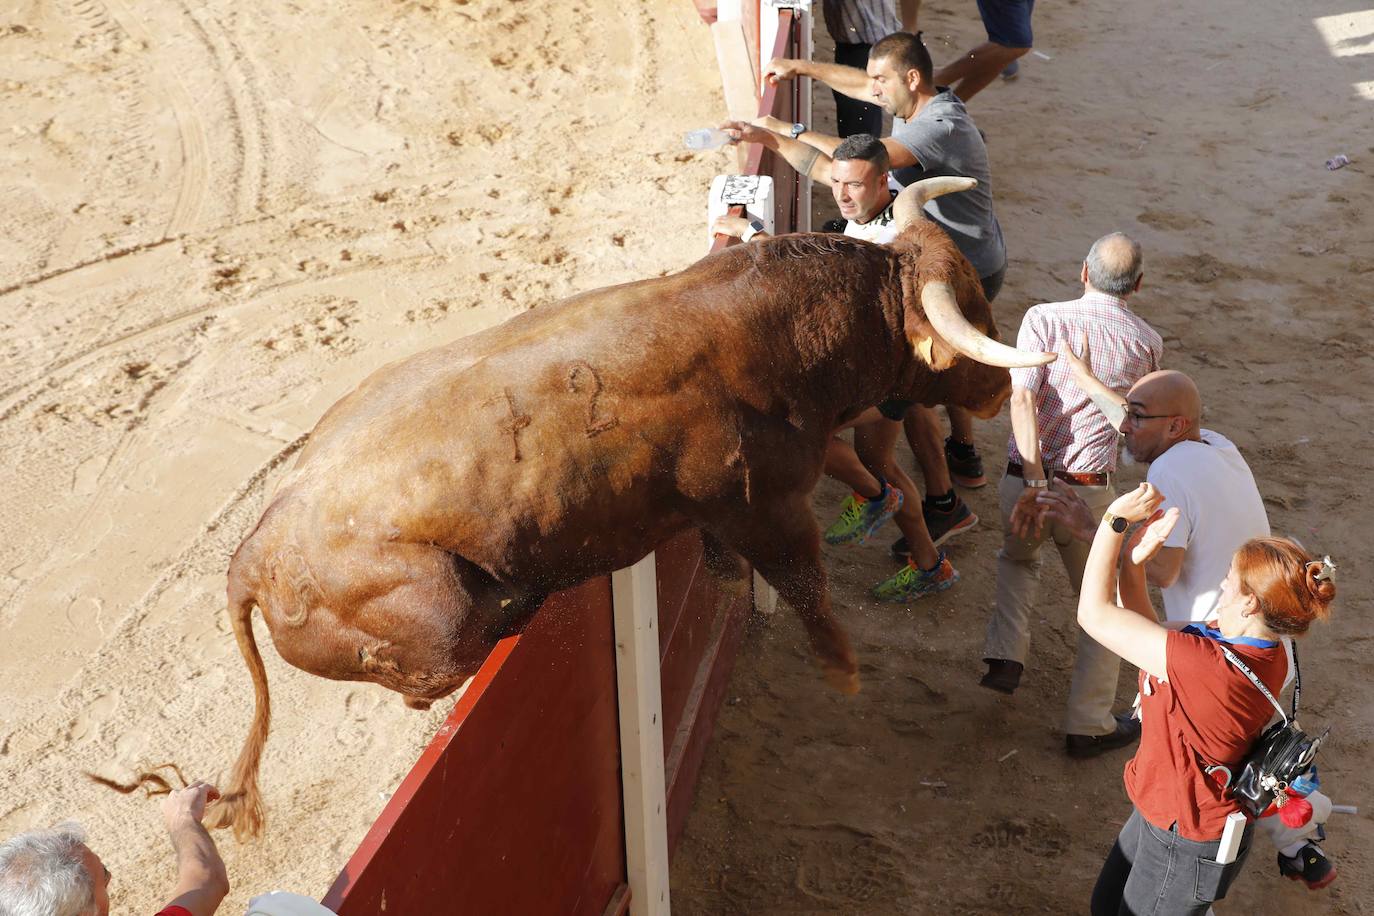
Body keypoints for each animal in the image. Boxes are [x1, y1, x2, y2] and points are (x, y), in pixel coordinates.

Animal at [196, 178, 1049, 840]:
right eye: (974, 314)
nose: (998, 389)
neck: (787, 331)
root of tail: (255, 553)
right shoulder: (770, 506)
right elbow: (805, 582)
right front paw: (842, 672)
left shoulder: (736, 516)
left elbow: (731, 565)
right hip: (441, 619)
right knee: (434, 670)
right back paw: (514, 604)